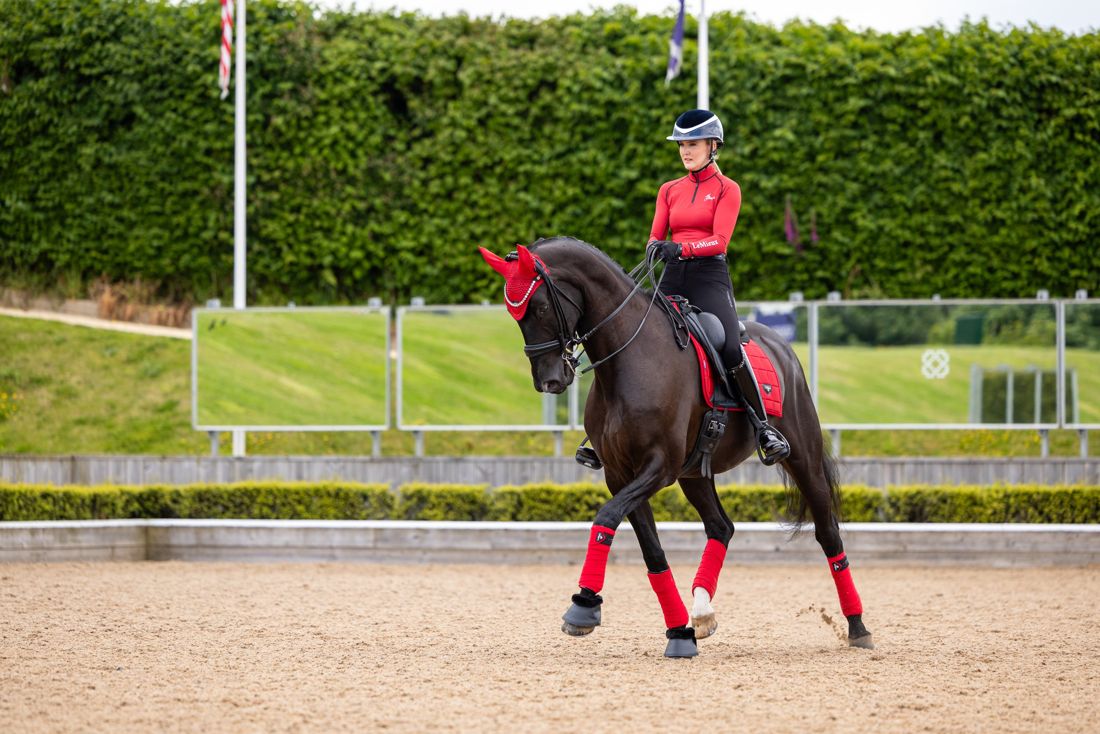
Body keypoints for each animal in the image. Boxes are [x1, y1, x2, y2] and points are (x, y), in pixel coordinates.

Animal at [479, 236, 873, 658]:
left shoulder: (659, 467)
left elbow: (605, 517)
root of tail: (781, 344)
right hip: (695, 473)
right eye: (514, 314)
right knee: (721, 527)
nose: (549, 381)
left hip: (801, 456)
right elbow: (650, 550)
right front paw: (679, 632)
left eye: (539, 306)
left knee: (828, 532)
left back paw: (858, 626)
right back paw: (702, 613)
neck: (629, 358)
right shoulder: (621, 474)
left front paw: (583, 605)